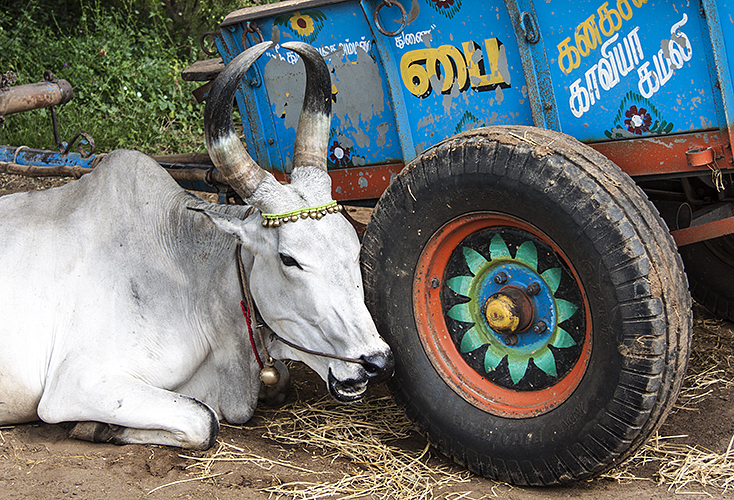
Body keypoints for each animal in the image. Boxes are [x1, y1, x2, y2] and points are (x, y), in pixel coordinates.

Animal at [0, 43, 394, 450]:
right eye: (289, 259)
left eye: (354, 249)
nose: (376, 362)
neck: (193, 275)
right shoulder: (76, 383)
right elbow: (204, 421)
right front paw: (98, 427)